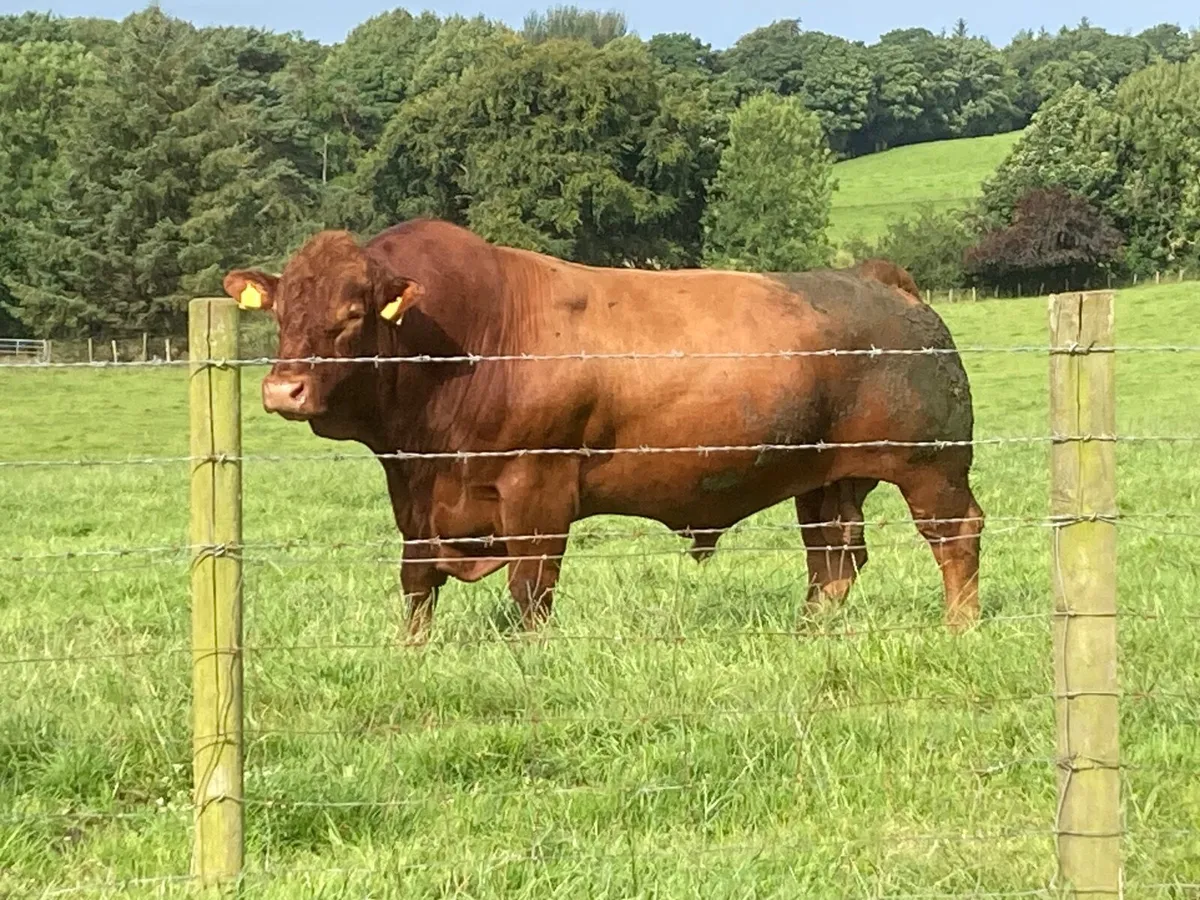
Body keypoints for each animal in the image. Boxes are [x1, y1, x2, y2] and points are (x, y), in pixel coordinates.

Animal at [224, 219, 983, 641]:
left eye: (353, 313)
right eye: (282, 311)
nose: (282, 389)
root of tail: (878, 279)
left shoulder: (537, 488)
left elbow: (531, 591)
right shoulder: (415, 496)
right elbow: (417, 585)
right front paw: (412, 653)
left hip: (932, 466)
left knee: (955, 538)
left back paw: (960, 627)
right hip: (827, 479)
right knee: (834, 560)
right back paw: (809, 633)